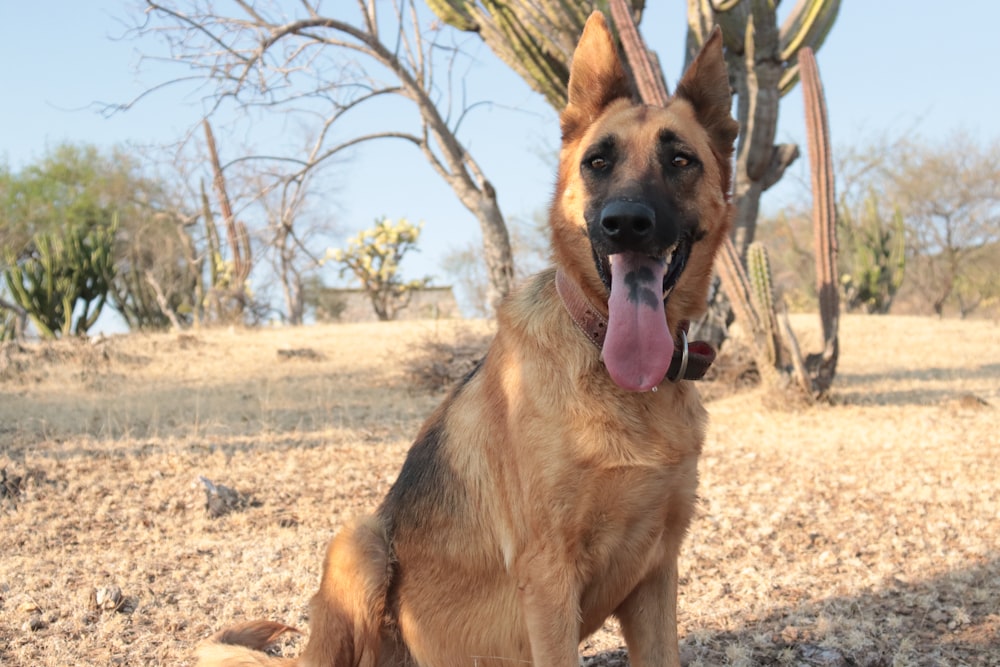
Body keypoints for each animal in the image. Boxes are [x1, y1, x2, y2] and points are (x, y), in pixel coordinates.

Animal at [199, 11, 740, 667]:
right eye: (597, 163)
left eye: (681, 160)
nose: (625, 223)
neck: (612, 369)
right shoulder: (549, 580)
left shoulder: (657, 573)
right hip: (359, 538)